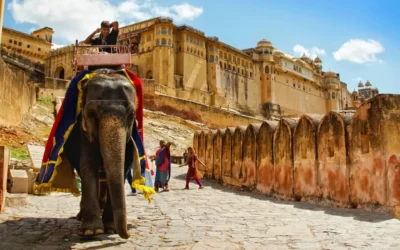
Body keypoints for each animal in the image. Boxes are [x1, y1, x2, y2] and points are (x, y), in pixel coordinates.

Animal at [63, 69, 143, 238]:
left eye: (131, 115)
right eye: (92, 115)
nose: (128, 234)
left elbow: (122, 168)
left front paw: (111, 229)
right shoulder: (83, 130)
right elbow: (87, 166)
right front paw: (91, 231)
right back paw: (82, 216)